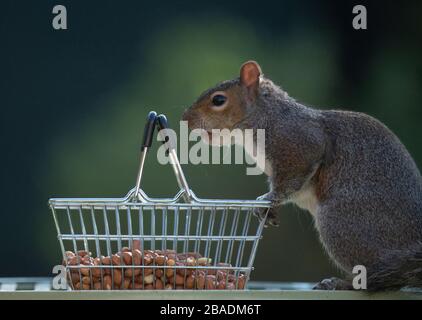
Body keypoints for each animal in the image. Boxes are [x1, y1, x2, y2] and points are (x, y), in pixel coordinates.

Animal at [183, 60, 422, 290]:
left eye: (218, 100)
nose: (185, 118)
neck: (263, 115)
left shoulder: (299, 145)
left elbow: (289, 182)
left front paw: (268, 199)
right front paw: (267, 210)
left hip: (343, 222)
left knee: (377, 279)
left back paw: (342, 284)